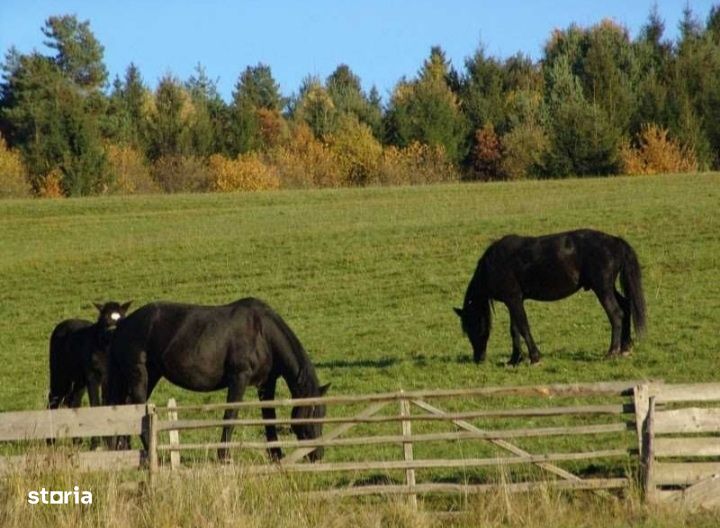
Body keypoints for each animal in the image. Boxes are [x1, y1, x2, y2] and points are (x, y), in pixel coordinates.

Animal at [107, 296, 332, 462]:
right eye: (312, 414)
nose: (317, 455)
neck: (262, 333)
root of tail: (123, 324)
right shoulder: (239, 378)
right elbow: (230, 415)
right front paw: (224, 456)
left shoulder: (266, 383)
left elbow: (269, 416)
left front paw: (276, 455)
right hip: (139, 374)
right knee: (136, 407)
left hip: (150, 374)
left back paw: (123, 449)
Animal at [456, 229, 648, 366]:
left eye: (472, 326)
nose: (478, 359)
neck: (494, 264)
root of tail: (615, 241)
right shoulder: (513, 301)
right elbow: (515, 329)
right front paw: (514, 360)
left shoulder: (514, 299)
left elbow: (523, 327)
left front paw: (535, 358)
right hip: (606, 287)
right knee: (626, 307)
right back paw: (625, 348)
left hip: (602, 288)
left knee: (616, 314)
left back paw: (612, 352)